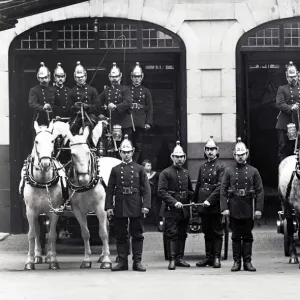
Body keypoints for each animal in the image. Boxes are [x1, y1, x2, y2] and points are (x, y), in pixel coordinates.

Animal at [21, 120, 63, 270]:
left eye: (52, 141)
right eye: (36, 141)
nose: (45, 163)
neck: (43, 182)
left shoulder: (54, 211)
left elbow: (52, 235)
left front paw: (53, 260)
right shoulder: (30, 211)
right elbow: (32, 235)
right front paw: (29, 261)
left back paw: (49, 255)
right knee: (38, 231)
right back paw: (38, 255)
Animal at [54, 120, 120, 268]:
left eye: (87, 152)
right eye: (73, 154)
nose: (84, 178)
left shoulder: (100, 207)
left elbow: (103, 233)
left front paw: (107, 261)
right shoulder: (77, 210)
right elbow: (85, 233)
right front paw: (87, 260)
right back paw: (102, 255)